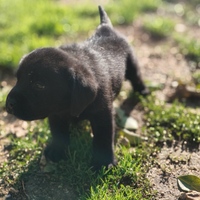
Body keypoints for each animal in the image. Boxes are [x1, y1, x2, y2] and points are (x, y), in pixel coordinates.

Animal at [5, 5, 148, 170]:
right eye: (18, 79)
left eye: (39, 85)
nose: (9, 103)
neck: (67, 106)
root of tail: (105, 28)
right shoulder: (55, 113)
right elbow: (59, 133)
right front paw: (57, 151)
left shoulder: (103, 115)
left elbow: (103, 138)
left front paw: (103, 162)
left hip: (131, 64)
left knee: (137, 77)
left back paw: (143, 91)